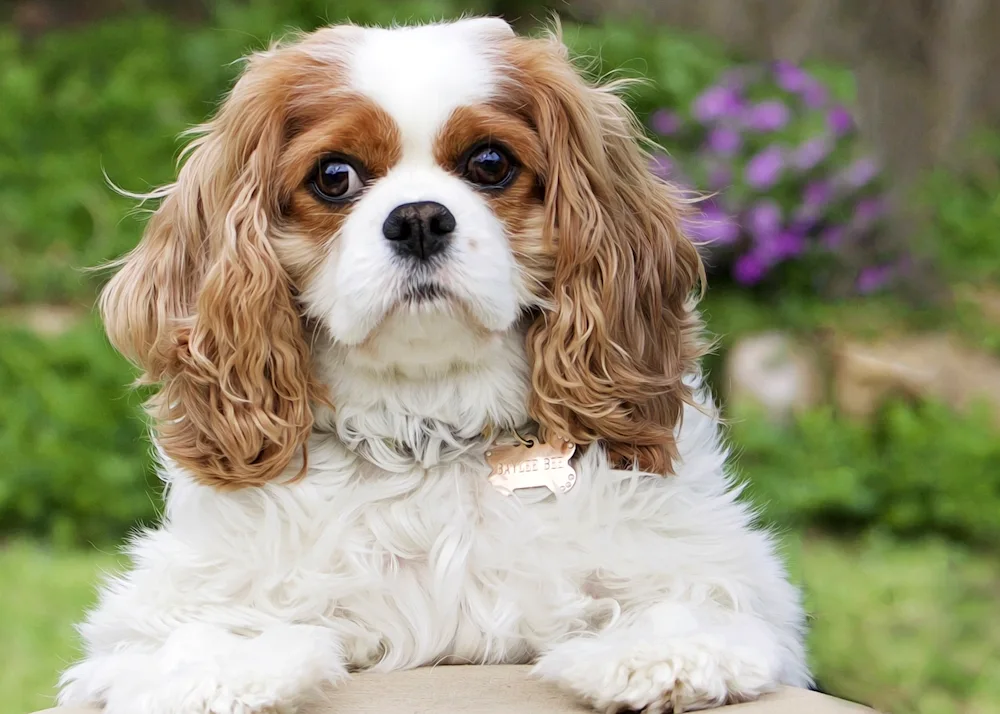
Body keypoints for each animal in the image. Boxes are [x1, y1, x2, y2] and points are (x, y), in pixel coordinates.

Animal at [56, 16, 812, 712]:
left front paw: (662, 650)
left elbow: (692, 595)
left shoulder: (729, 574)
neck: (429, 431)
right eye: (334, 176)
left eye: (489, 163)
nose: (419, 218)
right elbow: (192, 634)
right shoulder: (152, 613)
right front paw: (222, 670)